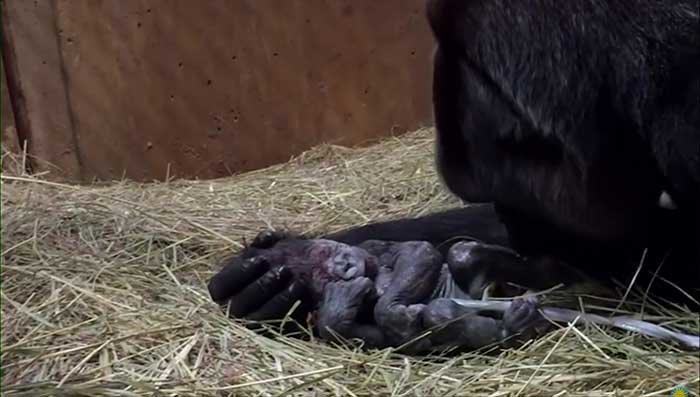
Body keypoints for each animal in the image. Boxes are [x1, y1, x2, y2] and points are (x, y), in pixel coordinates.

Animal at [208, 230, 548, 352]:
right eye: (319, 274)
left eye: (325, 251)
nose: (344, 264)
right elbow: (369, 336)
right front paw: (342, 302)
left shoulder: (370, 246)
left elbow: (417, 251)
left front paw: (391, 310)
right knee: (443, 311)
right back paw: (512, 326)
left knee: (462, 254)